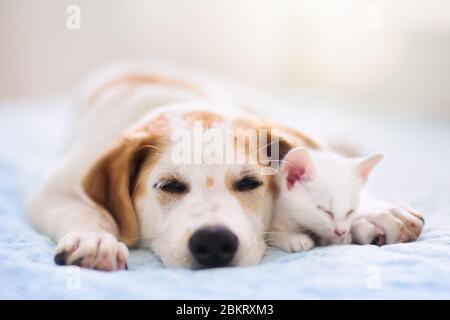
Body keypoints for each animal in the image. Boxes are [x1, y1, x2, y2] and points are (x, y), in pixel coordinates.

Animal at [27, 64, 422, 270]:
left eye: (249, 184)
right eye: (169, 186)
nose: (214, 242)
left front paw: (371, 211)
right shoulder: (54, 189)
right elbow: (87, 211)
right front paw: (95, 238)